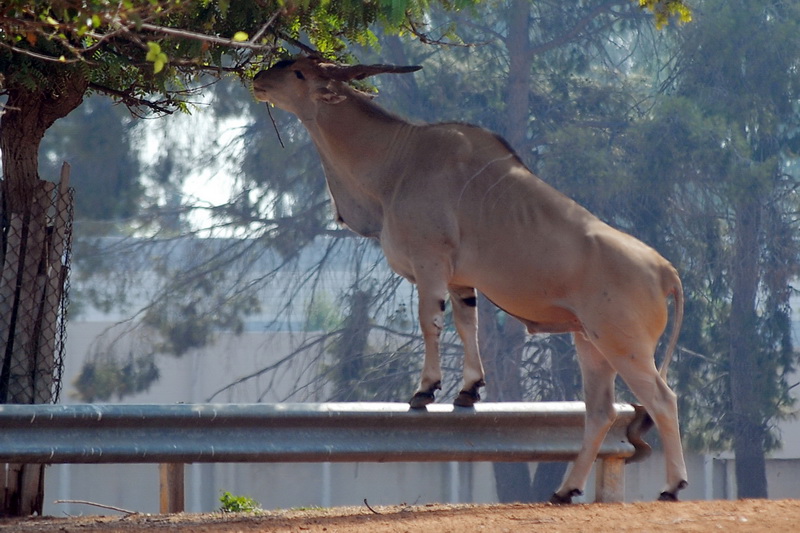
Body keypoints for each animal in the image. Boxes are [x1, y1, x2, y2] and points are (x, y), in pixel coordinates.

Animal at [255, 56, 688, 500]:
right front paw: (468, 390)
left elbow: (431, 323)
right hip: (590, 343)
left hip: (624, 346)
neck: (399, 158)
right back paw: (566, 491)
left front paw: (425, 390)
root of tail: (664, 270)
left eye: (298, 73)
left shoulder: (430, 264)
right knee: (601, 411)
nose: (258, 79)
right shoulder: (461, 281)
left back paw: (672, 486)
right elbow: (468, 324)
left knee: (663, 399)